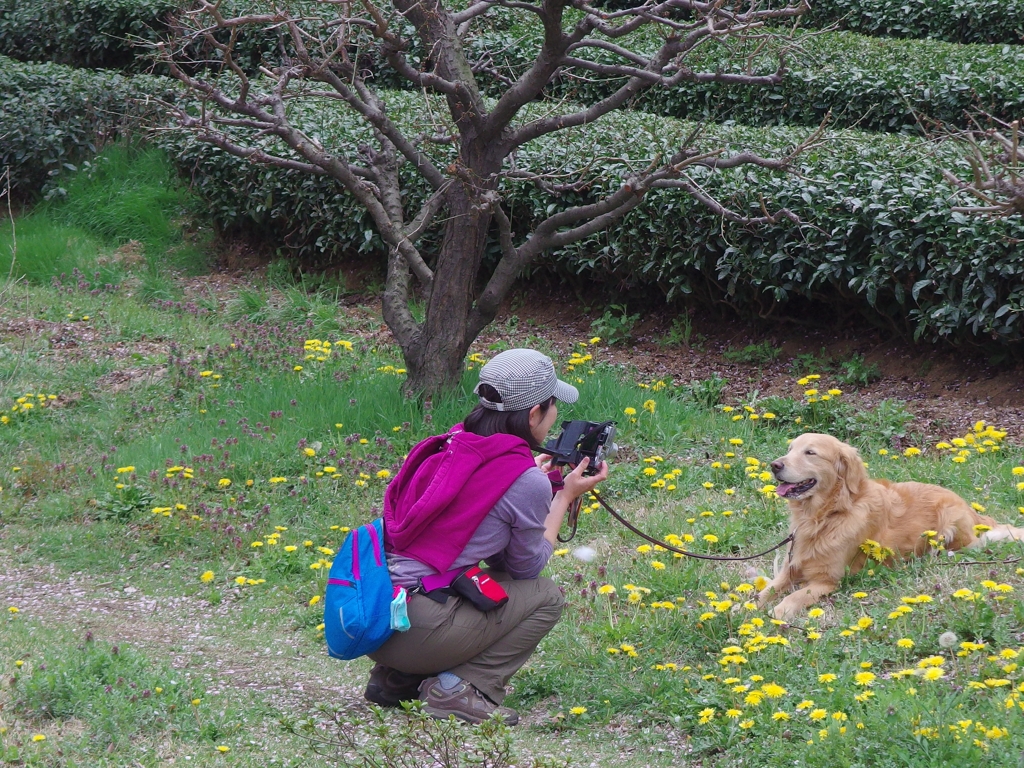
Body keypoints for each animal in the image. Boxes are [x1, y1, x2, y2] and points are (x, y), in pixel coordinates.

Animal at [757, 434, 1024, 618]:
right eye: (790, 449)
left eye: (810, 452)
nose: (774, 465)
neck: (825, 516)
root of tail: (968, 507)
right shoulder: (790, 567)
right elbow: (765, 590)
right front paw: (749, 605)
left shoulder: (827, 581)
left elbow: (794, 596)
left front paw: (777, 612)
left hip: (952, 525)